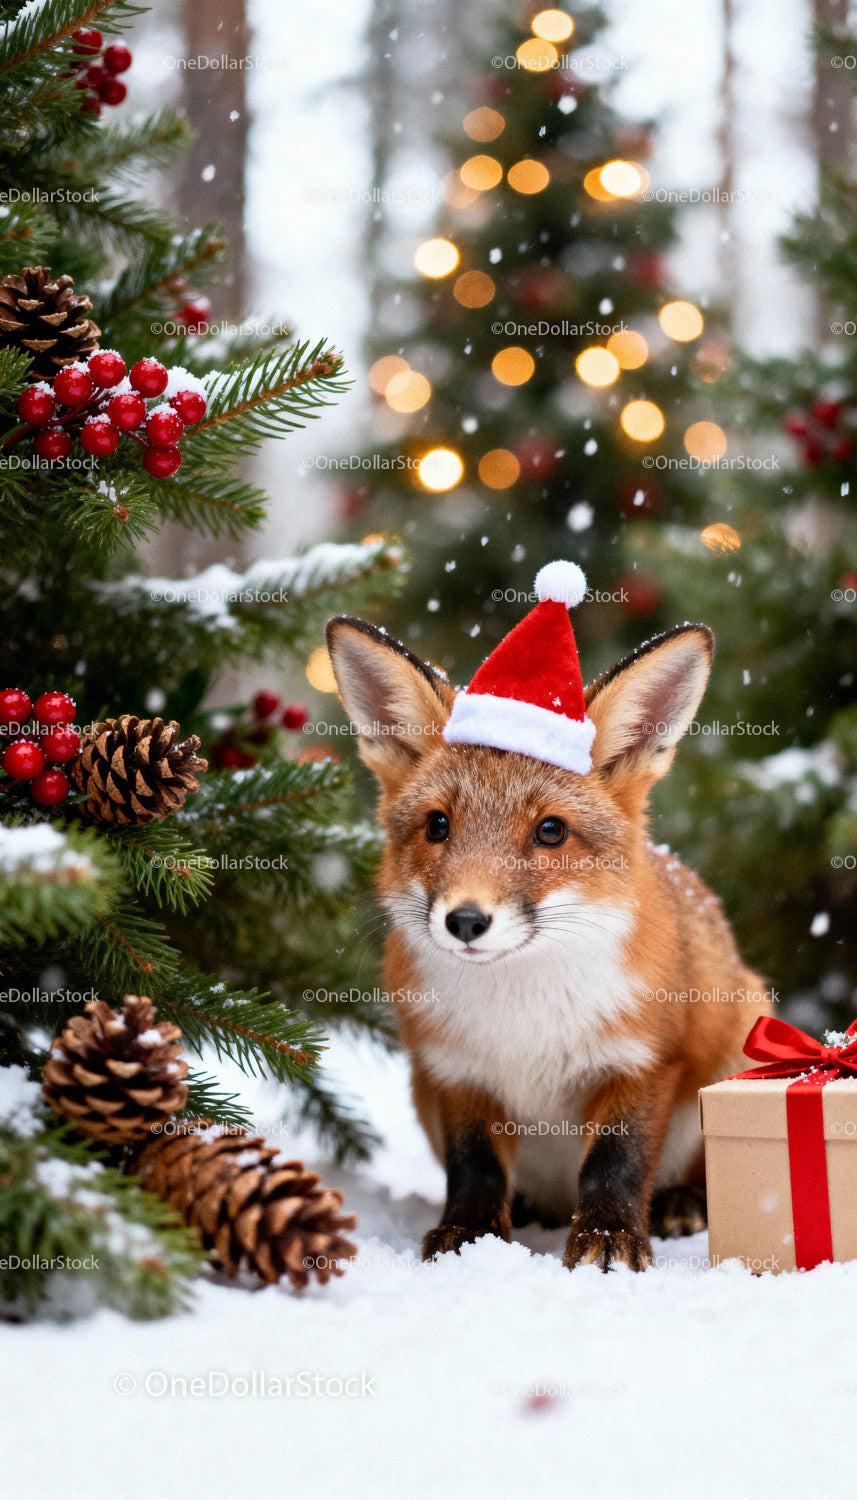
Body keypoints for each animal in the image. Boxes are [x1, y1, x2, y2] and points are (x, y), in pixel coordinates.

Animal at [326, 573, 770, 1273]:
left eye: (551, 832)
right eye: (437, 825)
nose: (466, 920)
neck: (523, 1014)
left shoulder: (642, 1061)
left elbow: (615, 1163)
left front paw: (610, 1237)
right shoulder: (455, 1073)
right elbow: (474, 1168)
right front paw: (469, 1237)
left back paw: (680, 1202)